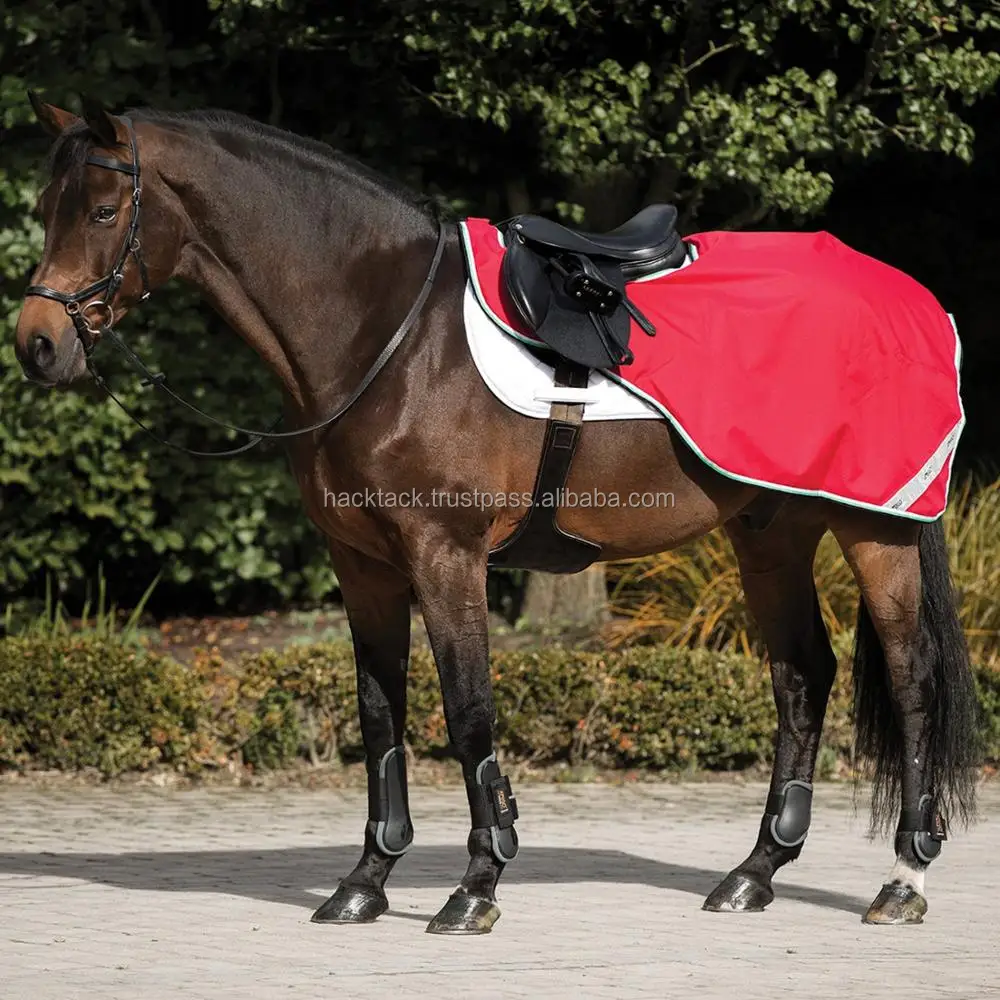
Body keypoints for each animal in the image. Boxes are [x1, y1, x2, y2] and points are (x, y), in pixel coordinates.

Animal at [13, 95, 980, 934]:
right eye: (43, 204)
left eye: (103, 209)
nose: (38, 345)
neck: (390, 336)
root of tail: (913, 297)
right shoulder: (363, 564)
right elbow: (380, 714)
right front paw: (365, 882)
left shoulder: (446, 555)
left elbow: (467, 707)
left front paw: (476, 884)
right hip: (771, 532)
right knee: (802, 675)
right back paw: (754, 873)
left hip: (876, 530)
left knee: (912, 677)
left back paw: (903, 877)